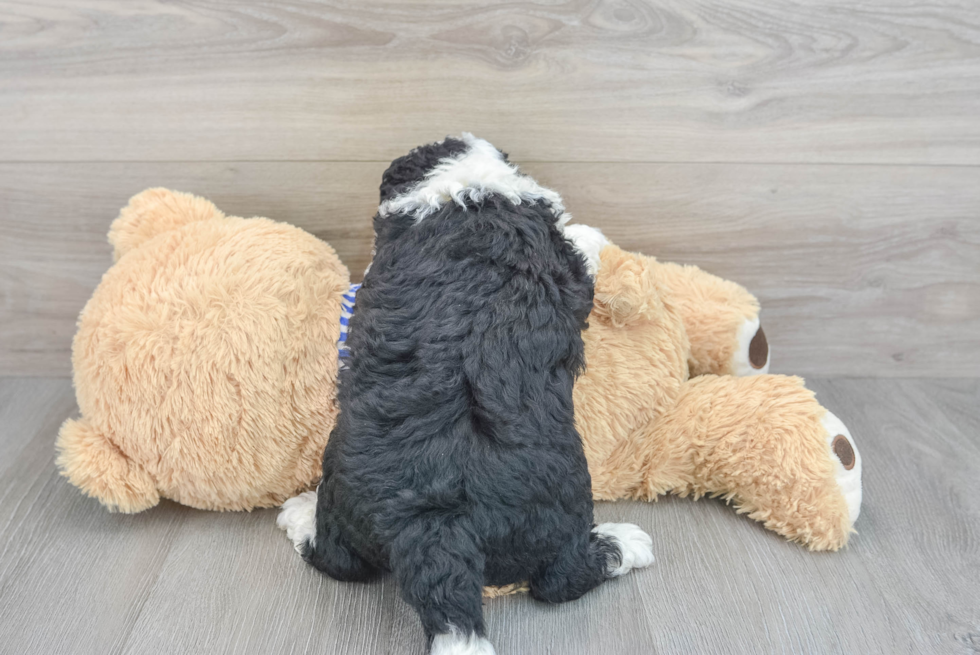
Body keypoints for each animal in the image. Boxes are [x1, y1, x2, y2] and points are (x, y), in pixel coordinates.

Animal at [280, 135, 656, 655]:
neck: (469, 198)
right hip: (559, 519)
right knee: (561, 580)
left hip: (349, 502)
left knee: (340, 560)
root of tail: (436, 522)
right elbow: (579, 242)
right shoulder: (562, 261)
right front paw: (592, 233)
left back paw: (300, 513)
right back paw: (627, 543)